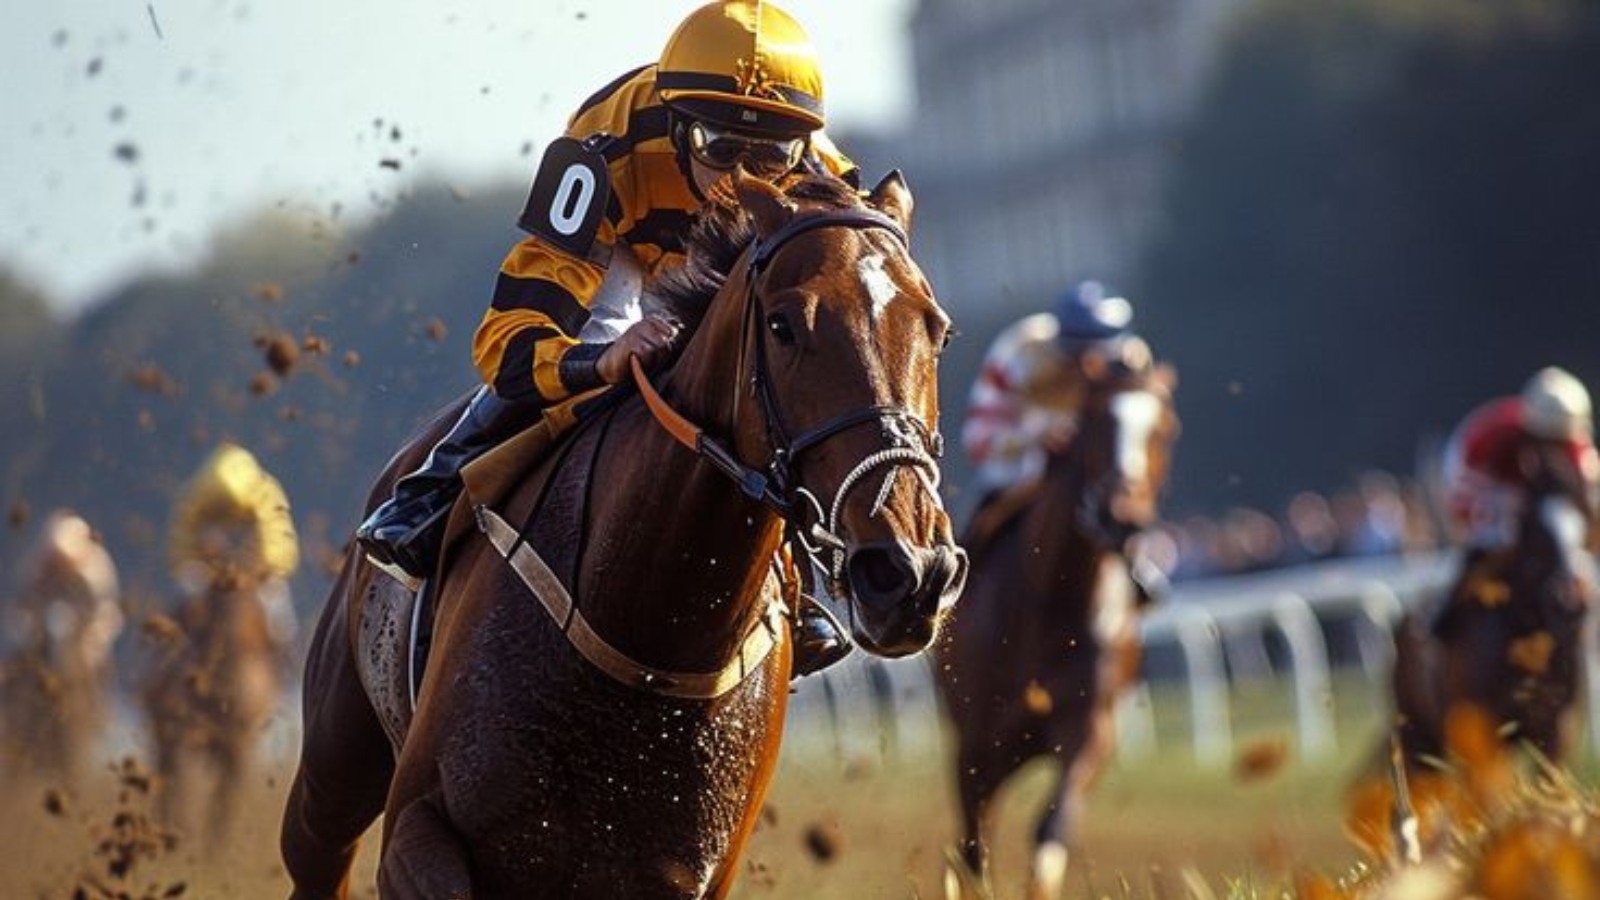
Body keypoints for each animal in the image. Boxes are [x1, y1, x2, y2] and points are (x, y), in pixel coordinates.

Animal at [279, 168, 967, 900]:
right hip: (329, 784)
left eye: (939, 332)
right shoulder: (418, 830)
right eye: (783, 324)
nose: (910, 571)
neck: (647, 631)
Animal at [935, 349, 1179, 900]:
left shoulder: (1088, 728)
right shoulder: (977, 744)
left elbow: (1053, 823)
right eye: (1094, 421)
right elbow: (974, 847)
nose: (1121, 517)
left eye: (1162, 430)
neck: (1055, 603)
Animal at [1390, 436, 1597, 772]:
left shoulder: (1557, 729)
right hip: (1420, 734)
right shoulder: (1479, 728)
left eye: (1586, 517)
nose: (1569, 602)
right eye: (1533, 524)